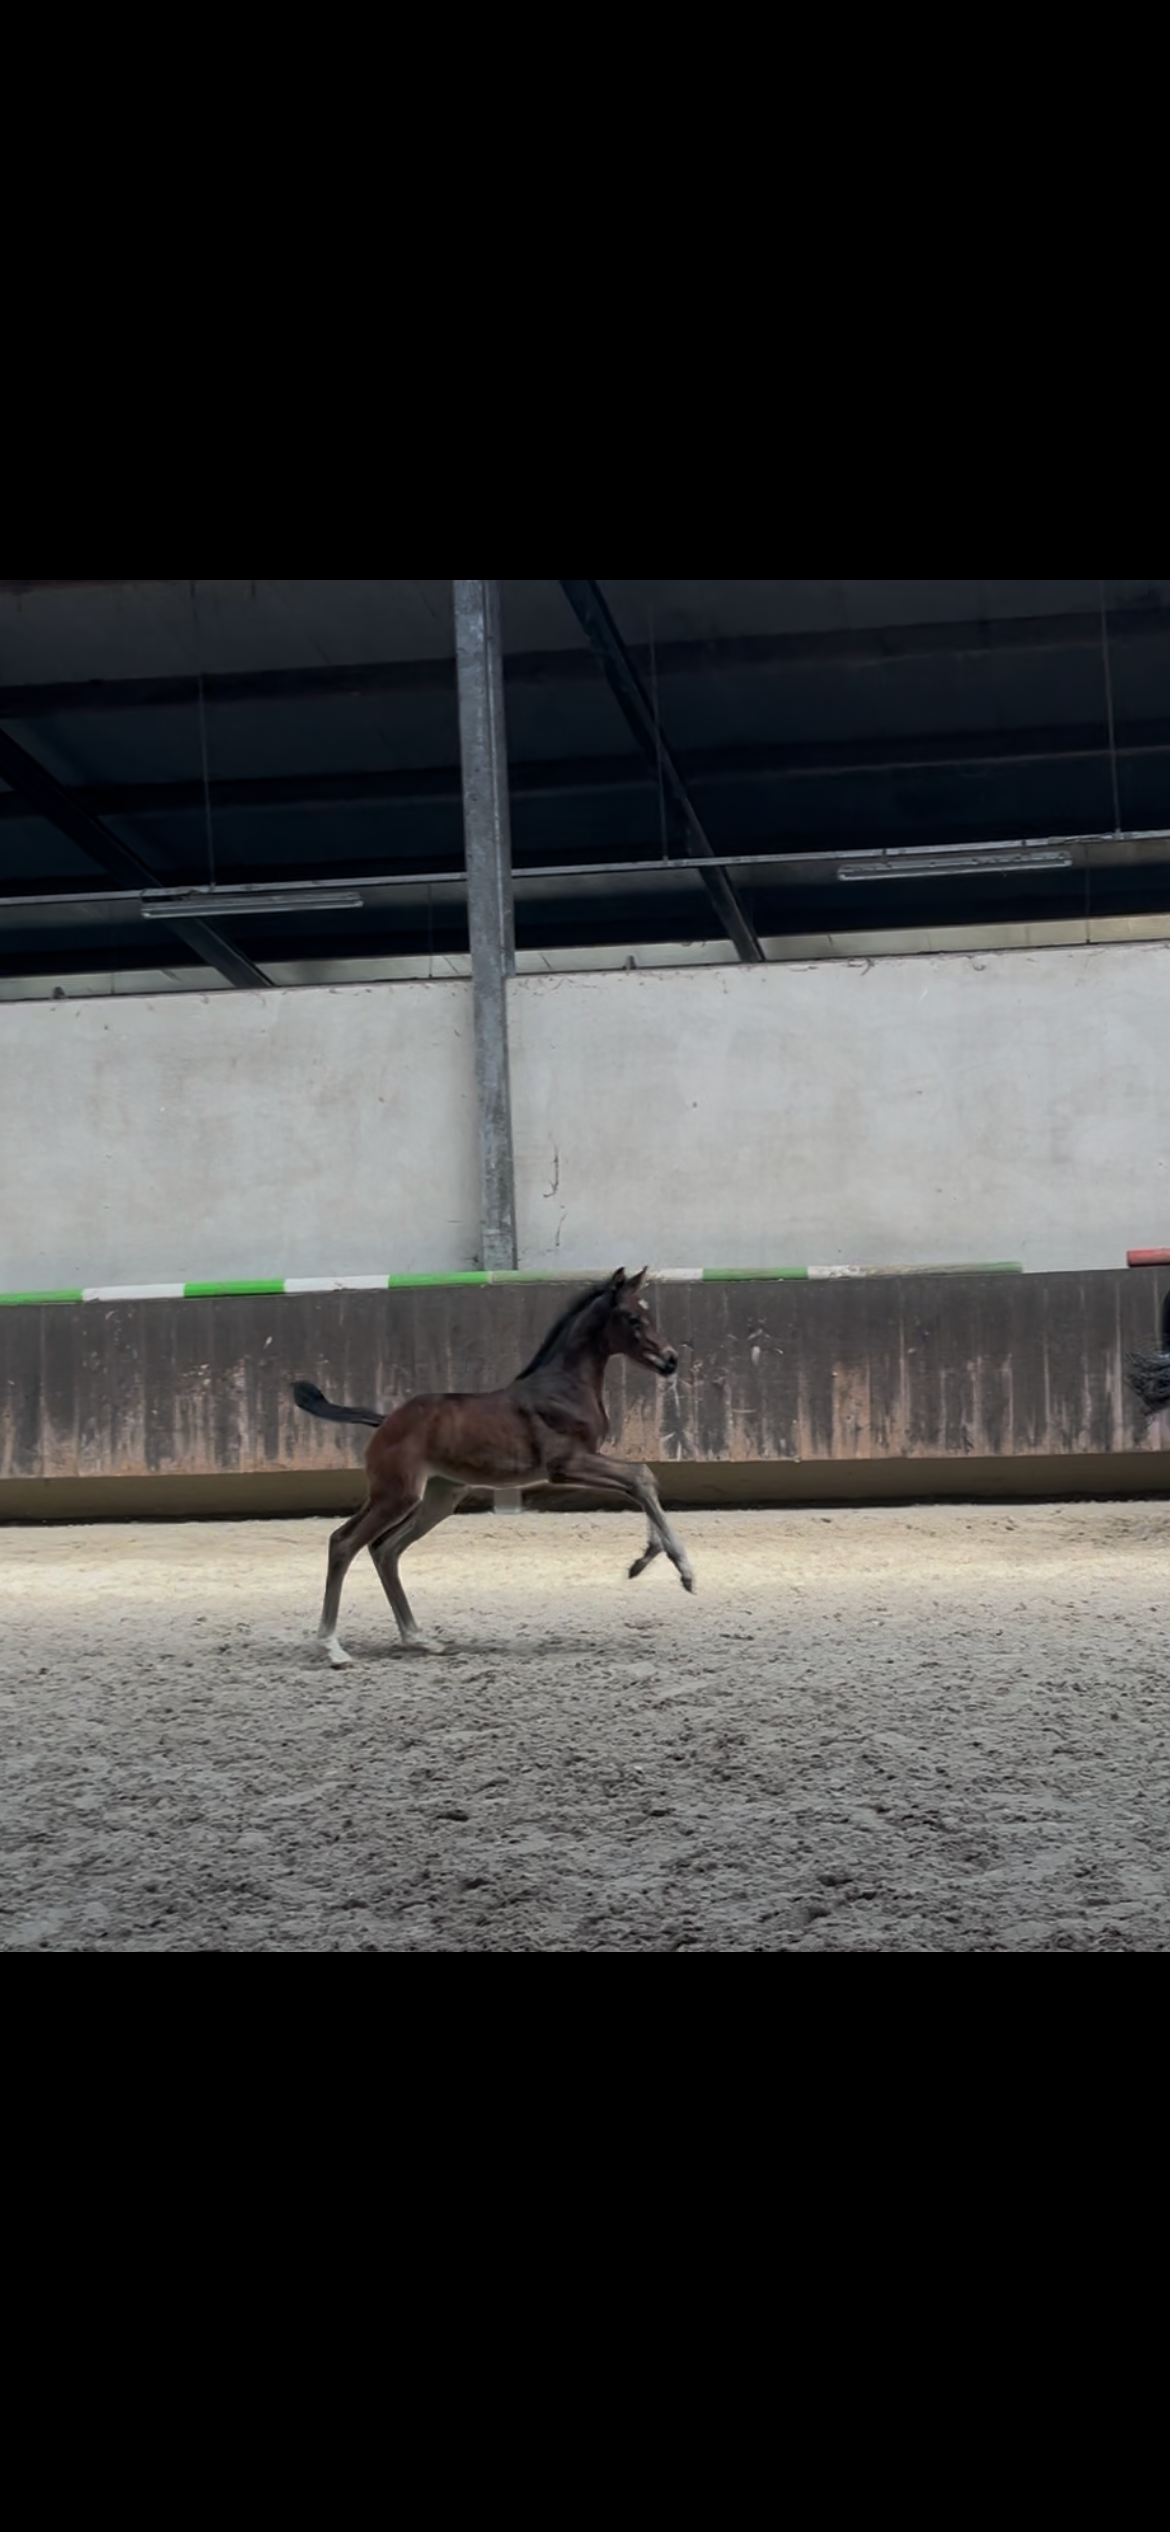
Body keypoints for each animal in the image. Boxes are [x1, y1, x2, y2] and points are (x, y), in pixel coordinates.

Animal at [292, 1267, 694, 1666]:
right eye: (633, 1318)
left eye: (649, 1315)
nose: (671, 1359)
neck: (563, 1387)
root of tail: (385, 1420)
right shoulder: (565, 1464)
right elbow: (640, 1477)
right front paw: (683, 1569)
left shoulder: (581, 1462)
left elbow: (641, 1479)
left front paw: (643, 1561)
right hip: (396, 1495)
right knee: (344, 1542)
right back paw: (333, 1647)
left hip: (436, 1498)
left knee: (384, 1549)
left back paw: (419, 1638)